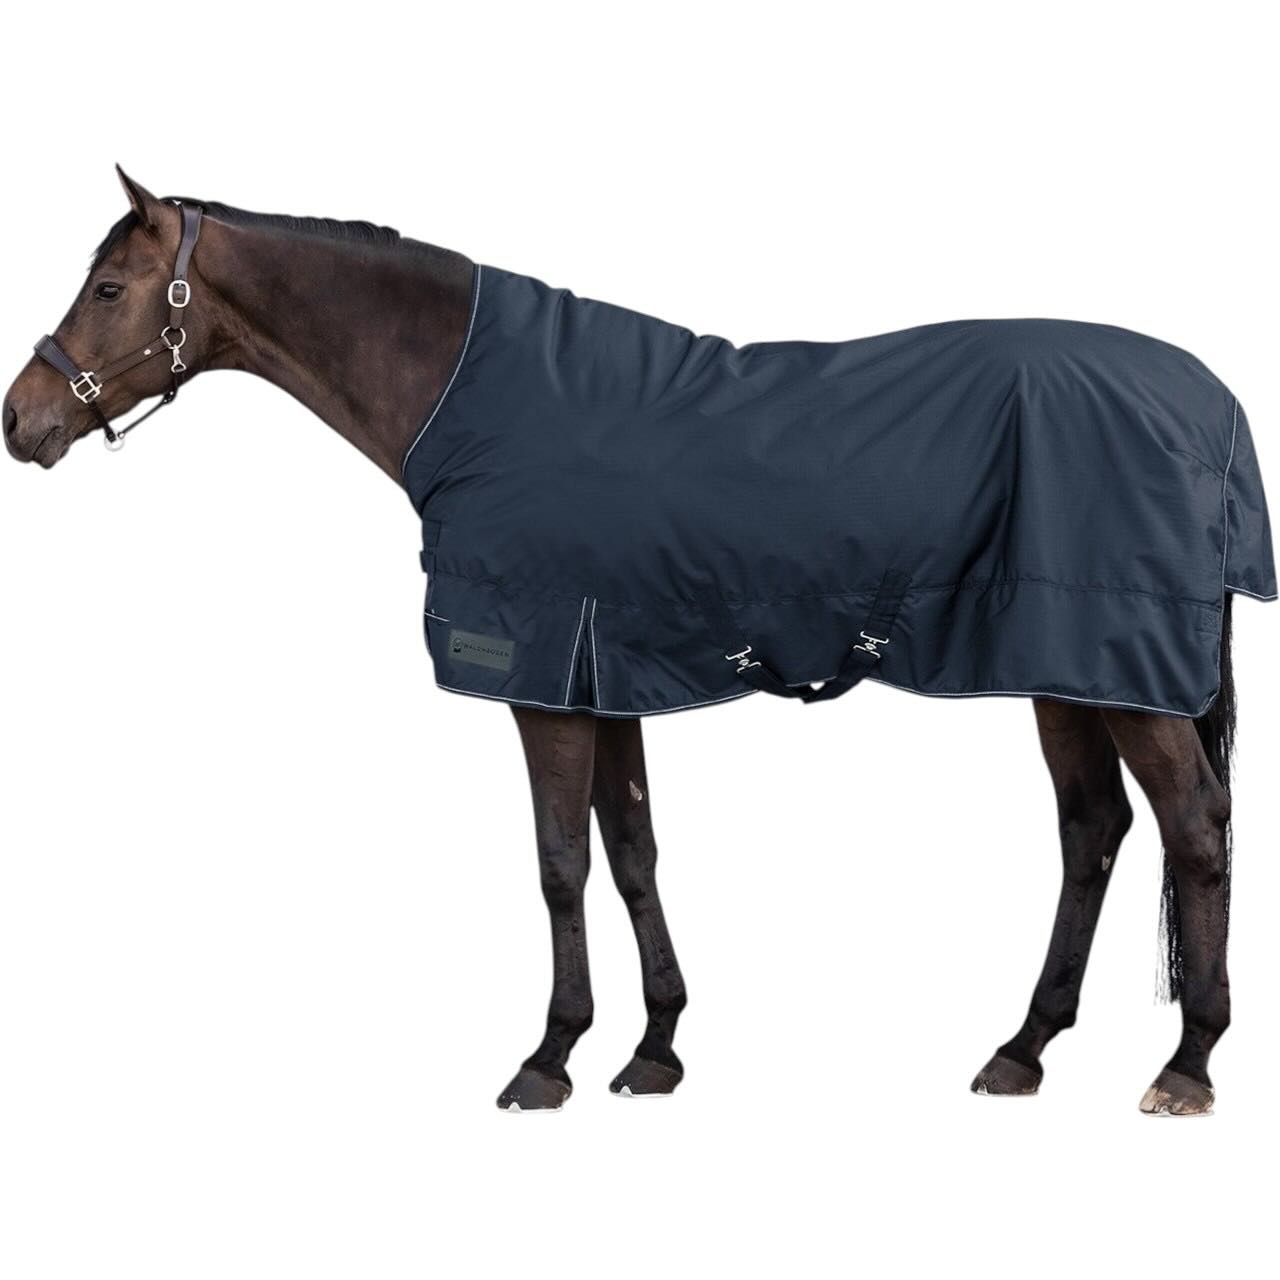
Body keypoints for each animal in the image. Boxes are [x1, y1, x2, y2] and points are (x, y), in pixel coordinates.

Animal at [4, 168, 1273, 1116]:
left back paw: (1185, 1062)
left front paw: (548, 1055)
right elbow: (631, 854)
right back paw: (1022, 1046)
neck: (473, 397)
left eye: (108, 286)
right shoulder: (604, 669)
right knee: (1093, 830)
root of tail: (1208, 401)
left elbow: (559, 862)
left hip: (1123, 677)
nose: (23, 418)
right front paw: (654, 1045)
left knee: (1192, 826)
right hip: (1066, 666)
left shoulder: (544, 680)